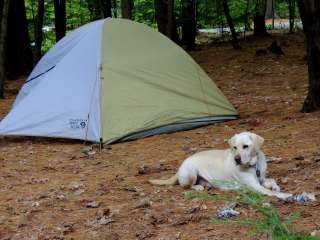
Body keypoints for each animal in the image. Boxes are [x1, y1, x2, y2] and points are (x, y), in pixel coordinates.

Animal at [150, 132, 292, 200]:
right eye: (234, 147)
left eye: (245, 146)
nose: (237, 159)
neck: (253, 164)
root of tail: (181, 165)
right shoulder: (255, 186)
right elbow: (270, 192)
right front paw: (285, 195)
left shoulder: (261, 179)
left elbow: (271, 180)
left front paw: (276, 186)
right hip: (191, 172)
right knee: (186, 186)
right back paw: (198, 187)